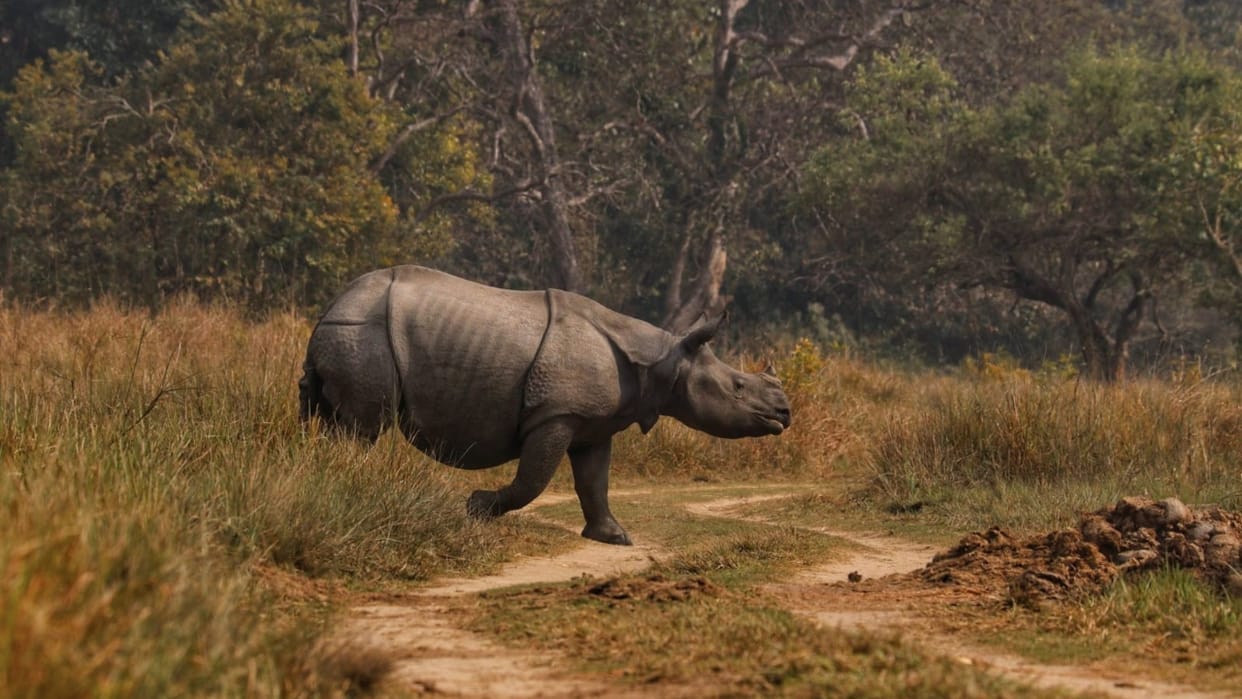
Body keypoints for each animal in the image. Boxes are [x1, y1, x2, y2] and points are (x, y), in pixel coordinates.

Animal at [298, 265, 791, 545]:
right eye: (738, 387)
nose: (785, 412)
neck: (663, 357)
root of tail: (329, 309)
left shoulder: (594, 423)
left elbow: (594, 482)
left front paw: (614, 538)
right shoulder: (556, 413)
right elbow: (532, 481)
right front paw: (476, 507)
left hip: (350, 331)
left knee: (332, 421)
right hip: (364, 333)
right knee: (362, 428)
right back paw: (351, 483)